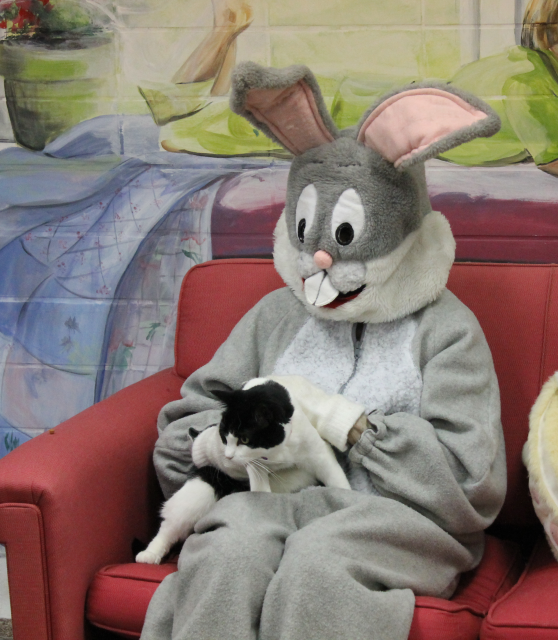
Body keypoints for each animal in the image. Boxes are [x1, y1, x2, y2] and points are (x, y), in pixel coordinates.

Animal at [137, 378, 350, 564]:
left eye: (245, 439)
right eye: (224, 435)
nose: (228, 456)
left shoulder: (317, 451)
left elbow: (337, 479)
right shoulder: (254, 468)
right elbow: (260, 488)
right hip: (198, 491)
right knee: (171, 524)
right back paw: (149, 554)